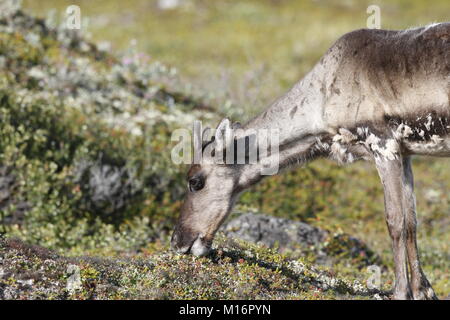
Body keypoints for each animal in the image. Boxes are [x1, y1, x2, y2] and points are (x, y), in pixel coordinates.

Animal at [171, 23, 448, 300]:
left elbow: (395, 222)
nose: (177, 241)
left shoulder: (383, 143)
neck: (321, 106)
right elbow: (412, 222)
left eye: (195, 181)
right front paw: (423, 291)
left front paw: (400, 292)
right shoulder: (406, 153)